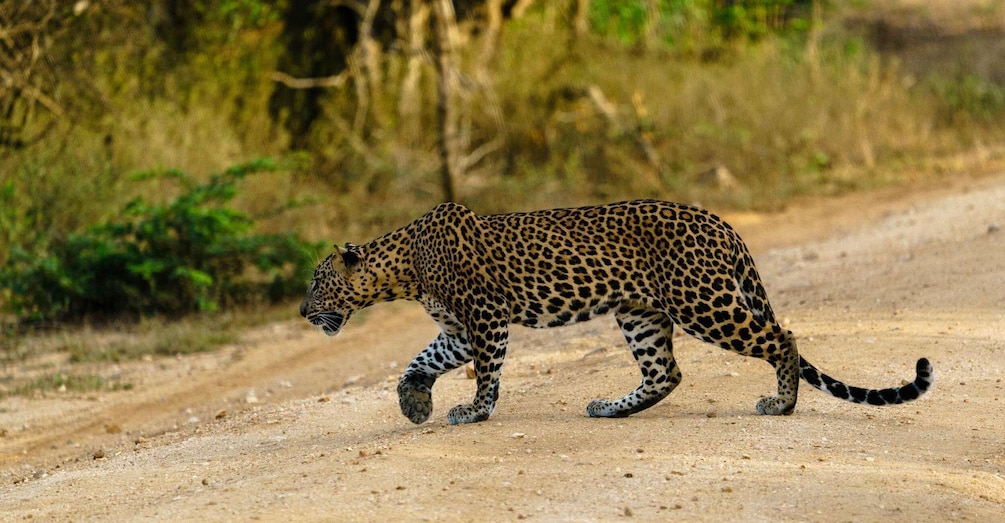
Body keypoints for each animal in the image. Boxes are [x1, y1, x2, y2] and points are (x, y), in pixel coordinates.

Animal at [300, 200, 933, 425]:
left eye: (317, 281)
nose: (303, 312)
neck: (403, 269)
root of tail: (722, 222)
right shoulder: (456, 330)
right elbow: (419, 360)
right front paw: (415, 403)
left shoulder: (485, 319)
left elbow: (486, 373)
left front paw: (473, 412)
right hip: (640, 313)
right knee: (665, 372)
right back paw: (610, 408)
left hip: (703, 302)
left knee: (784, 336)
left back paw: (782, 404)